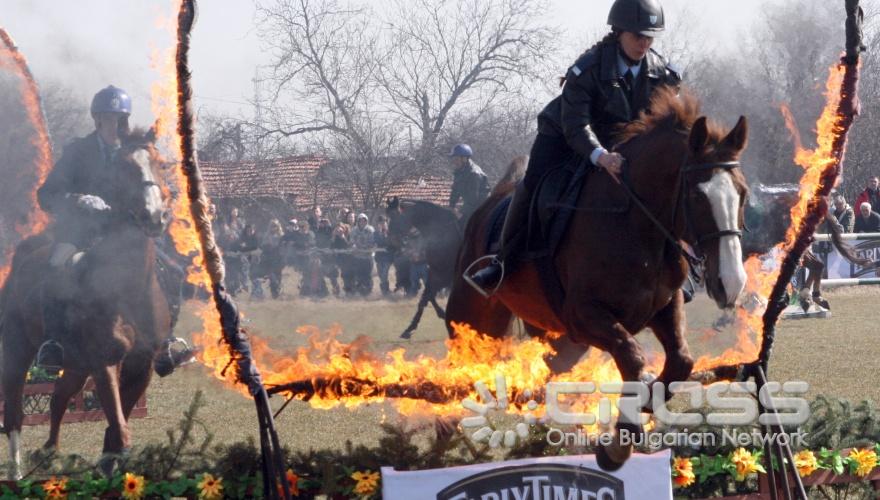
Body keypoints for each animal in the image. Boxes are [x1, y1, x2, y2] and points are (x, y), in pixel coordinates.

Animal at [0, 128, 172, 476]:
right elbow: (120, 427)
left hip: (76, 364)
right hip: (17, 351)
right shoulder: (105, 362)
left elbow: (117, 428)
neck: (128, 290)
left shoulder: (141, 366)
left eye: (161, 164)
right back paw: (16, 470)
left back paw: (49, 451)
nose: (154, 217)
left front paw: (108, 464)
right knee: (14, 412)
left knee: (59, 398)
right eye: (123, 168)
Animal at [450, 88, 752, 470]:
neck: (635, 223)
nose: (731, 282)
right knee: (463, 367)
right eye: (698, 196)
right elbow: (634, 359)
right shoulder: (586, 316)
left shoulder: (664, 307)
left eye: (743, 193)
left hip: (557, 338)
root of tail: (487, 205)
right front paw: (619, 443)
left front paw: (636, 415)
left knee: (553, 371)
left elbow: (680, 361)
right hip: (474, 319)